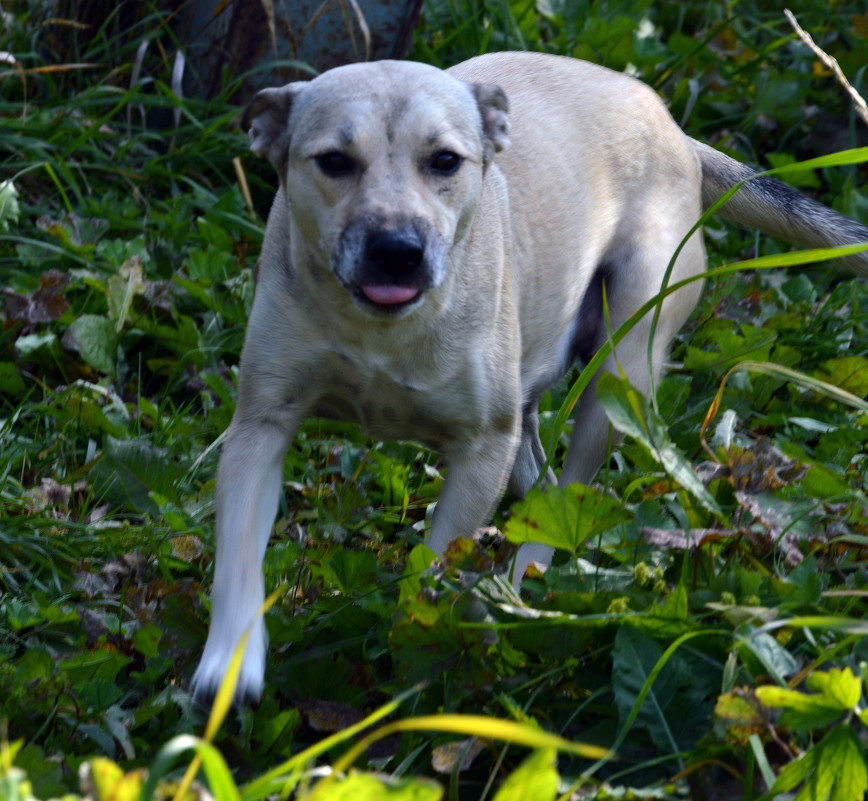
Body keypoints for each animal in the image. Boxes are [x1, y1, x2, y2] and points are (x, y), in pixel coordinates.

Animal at [193, 50, 868, 704]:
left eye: (444, 161)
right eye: (334, 161)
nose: (396, 250)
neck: (381, 330)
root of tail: (670, 124)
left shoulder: (481, 451)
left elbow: (430, 565)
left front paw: (416, 649)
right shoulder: (259, 429)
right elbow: (237, 562)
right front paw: (229, 664)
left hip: (619, 374)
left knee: (570, 492)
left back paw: (526, 590)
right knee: (541, 485)